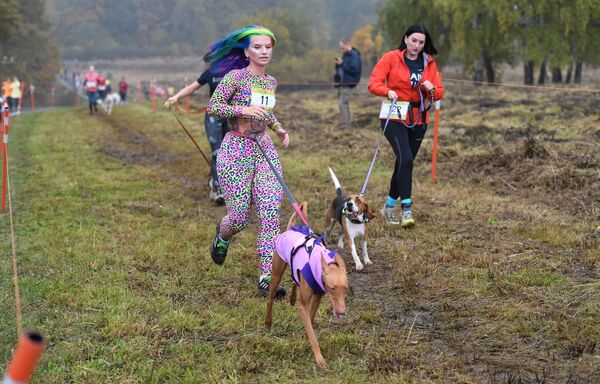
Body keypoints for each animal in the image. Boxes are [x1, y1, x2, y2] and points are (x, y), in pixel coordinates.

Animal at [266, 202, 350, 368]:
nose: (342, 312)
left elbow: (310, 321)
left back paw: (292, 298)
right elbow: (312, 333)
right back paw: (268, 321)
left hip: (295, 271)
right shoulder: (303, 306)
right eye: (332, 288)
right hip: (276, 274)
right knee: (270, 298)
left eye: (345, 288)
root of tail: (290, 229)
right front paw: (319, 358)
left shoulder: (316, 298)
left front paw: (306, 336)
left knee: (294, 279)